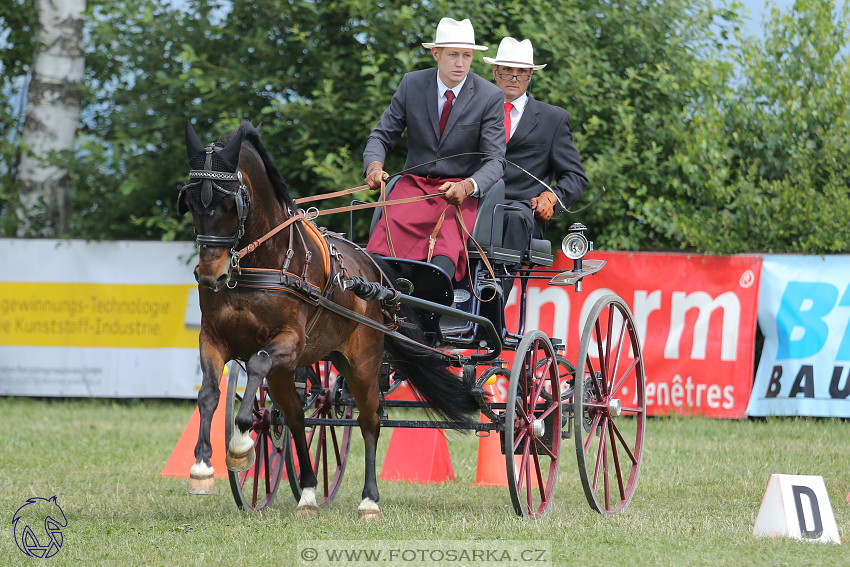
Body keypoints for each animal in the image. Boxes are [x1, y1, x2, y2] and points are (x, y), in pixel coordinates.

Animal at [177, 120, 476, 520]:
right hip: (295, 369)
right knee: (296, 418)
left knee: (369, 421)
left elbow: (254, 365)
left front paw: (240, 444)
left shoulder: (288, 342)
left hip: (361, 362)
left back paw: (369, 500)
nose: (211, 275)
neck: (262, 263)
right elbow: (209, 394)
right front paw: (202, 467)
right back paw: (306, 493)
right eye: (191, 202)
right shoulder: (213, 339)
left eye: (231, 203)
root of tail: (377, 272)